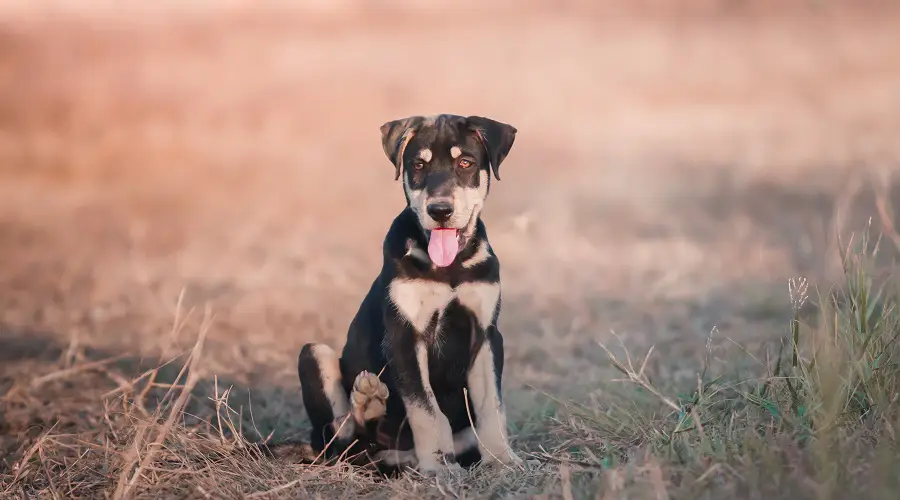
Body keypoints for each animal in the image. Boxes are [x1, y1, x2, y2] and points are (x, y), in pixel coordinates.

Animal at [296, 114, 520, 476]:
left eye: (466, 162)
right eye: (418, 165)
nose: (440, 210)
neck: (449, 266)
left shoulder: (486, 335)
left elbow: (491, 405)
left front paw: (502, 460)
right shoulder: (405, 336)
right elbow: (426, 409)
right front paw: (439, 466)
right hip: (314, 356)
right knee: (341, 435)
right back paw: (368, 402)